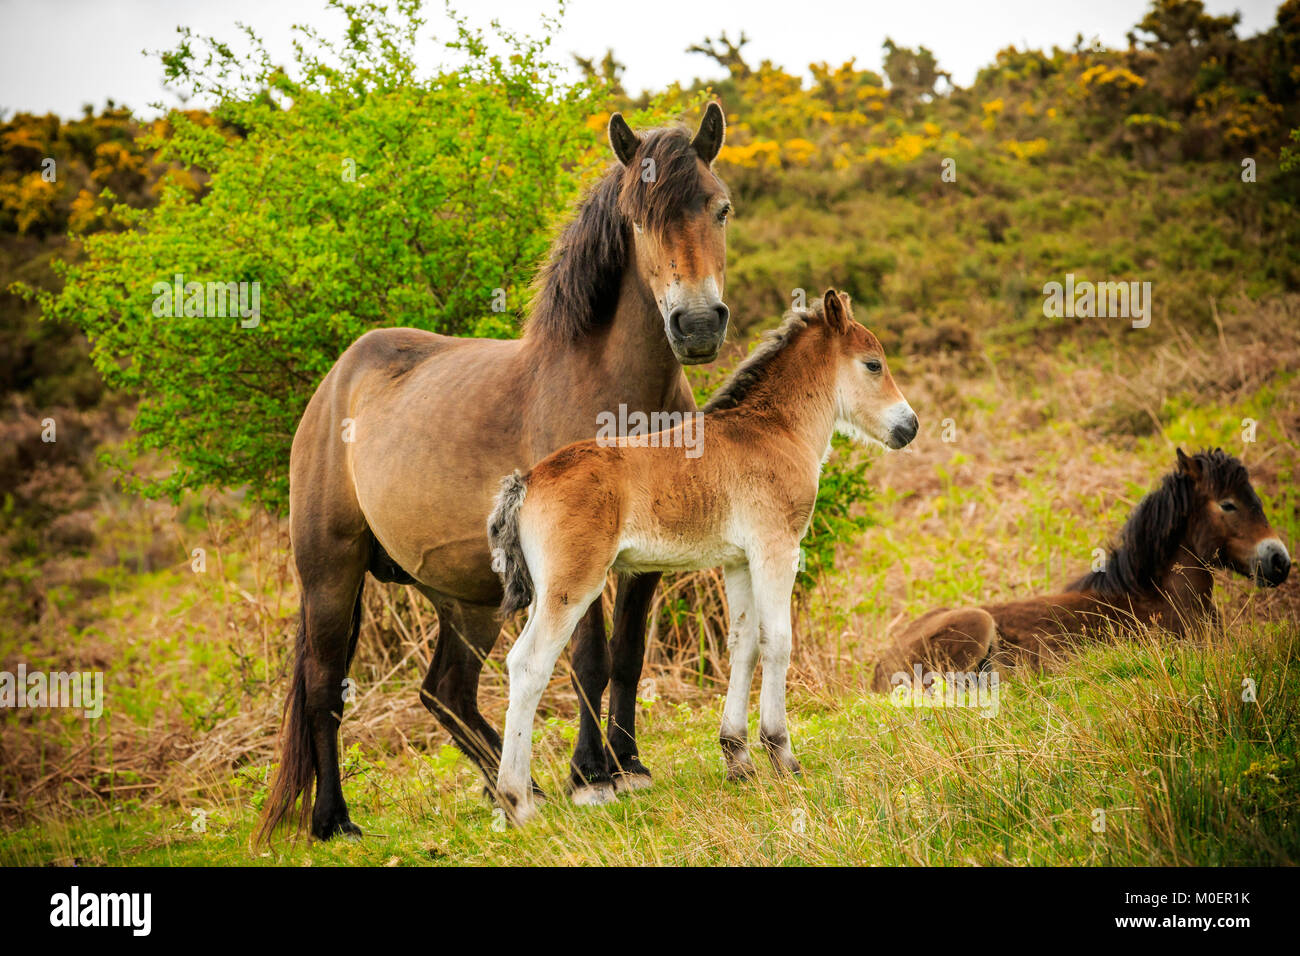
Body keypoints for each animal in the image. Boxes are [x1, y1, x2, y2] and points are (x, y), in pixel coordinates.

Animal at [258, 104, 738, 842]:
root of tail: (336, 383)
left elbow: (628, 656)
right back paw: (334, 820)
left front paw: (628, 766)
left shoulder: (647, 559)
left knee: (446, 694)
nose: (696, 324)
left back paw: (515, 790)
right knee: (322, 688)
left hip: (469, 598)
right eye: (637, 222)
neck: (615, 392)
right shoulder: (578, 552)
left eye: (720, 208)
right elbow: (590, 659)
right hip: (330, 576)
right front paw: (591, 775)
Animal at [488, 291, 925, 822]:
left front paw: (738, 758)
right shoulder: (776, 548)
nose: (909, 427)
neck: (771, 431)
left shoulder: (737, 561)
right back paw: (518, 801)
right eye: (873, 364)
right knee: (529, 665)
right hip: (573, 585)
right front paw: (782, 754)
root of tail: (527, 481)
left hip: (550, 590)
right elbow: (777, 642)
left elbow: (744, 644)